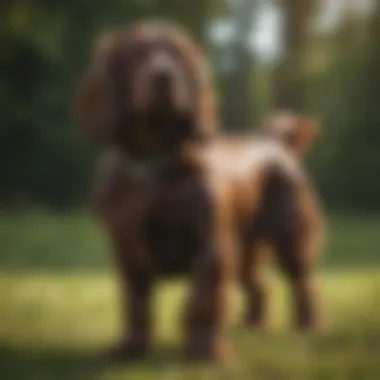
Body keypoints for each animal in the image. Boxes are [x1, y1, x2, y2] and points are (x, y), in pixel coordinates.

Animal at [76, 21, 324, 362]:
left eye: (178, 56)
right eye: (136, 53)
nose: (164, 76)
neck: (155, 163)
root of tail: (275, 143)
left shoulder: (211, 246)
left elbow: (201, 301)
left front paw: (206, 351)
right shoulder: (127, 249)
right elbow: (136, 303)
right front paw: (131, 346)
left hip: (290, 239)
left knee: (303, 283)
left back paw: (307, 327)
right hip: (246, 248)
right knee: (260, 286)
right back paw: (254, 325)